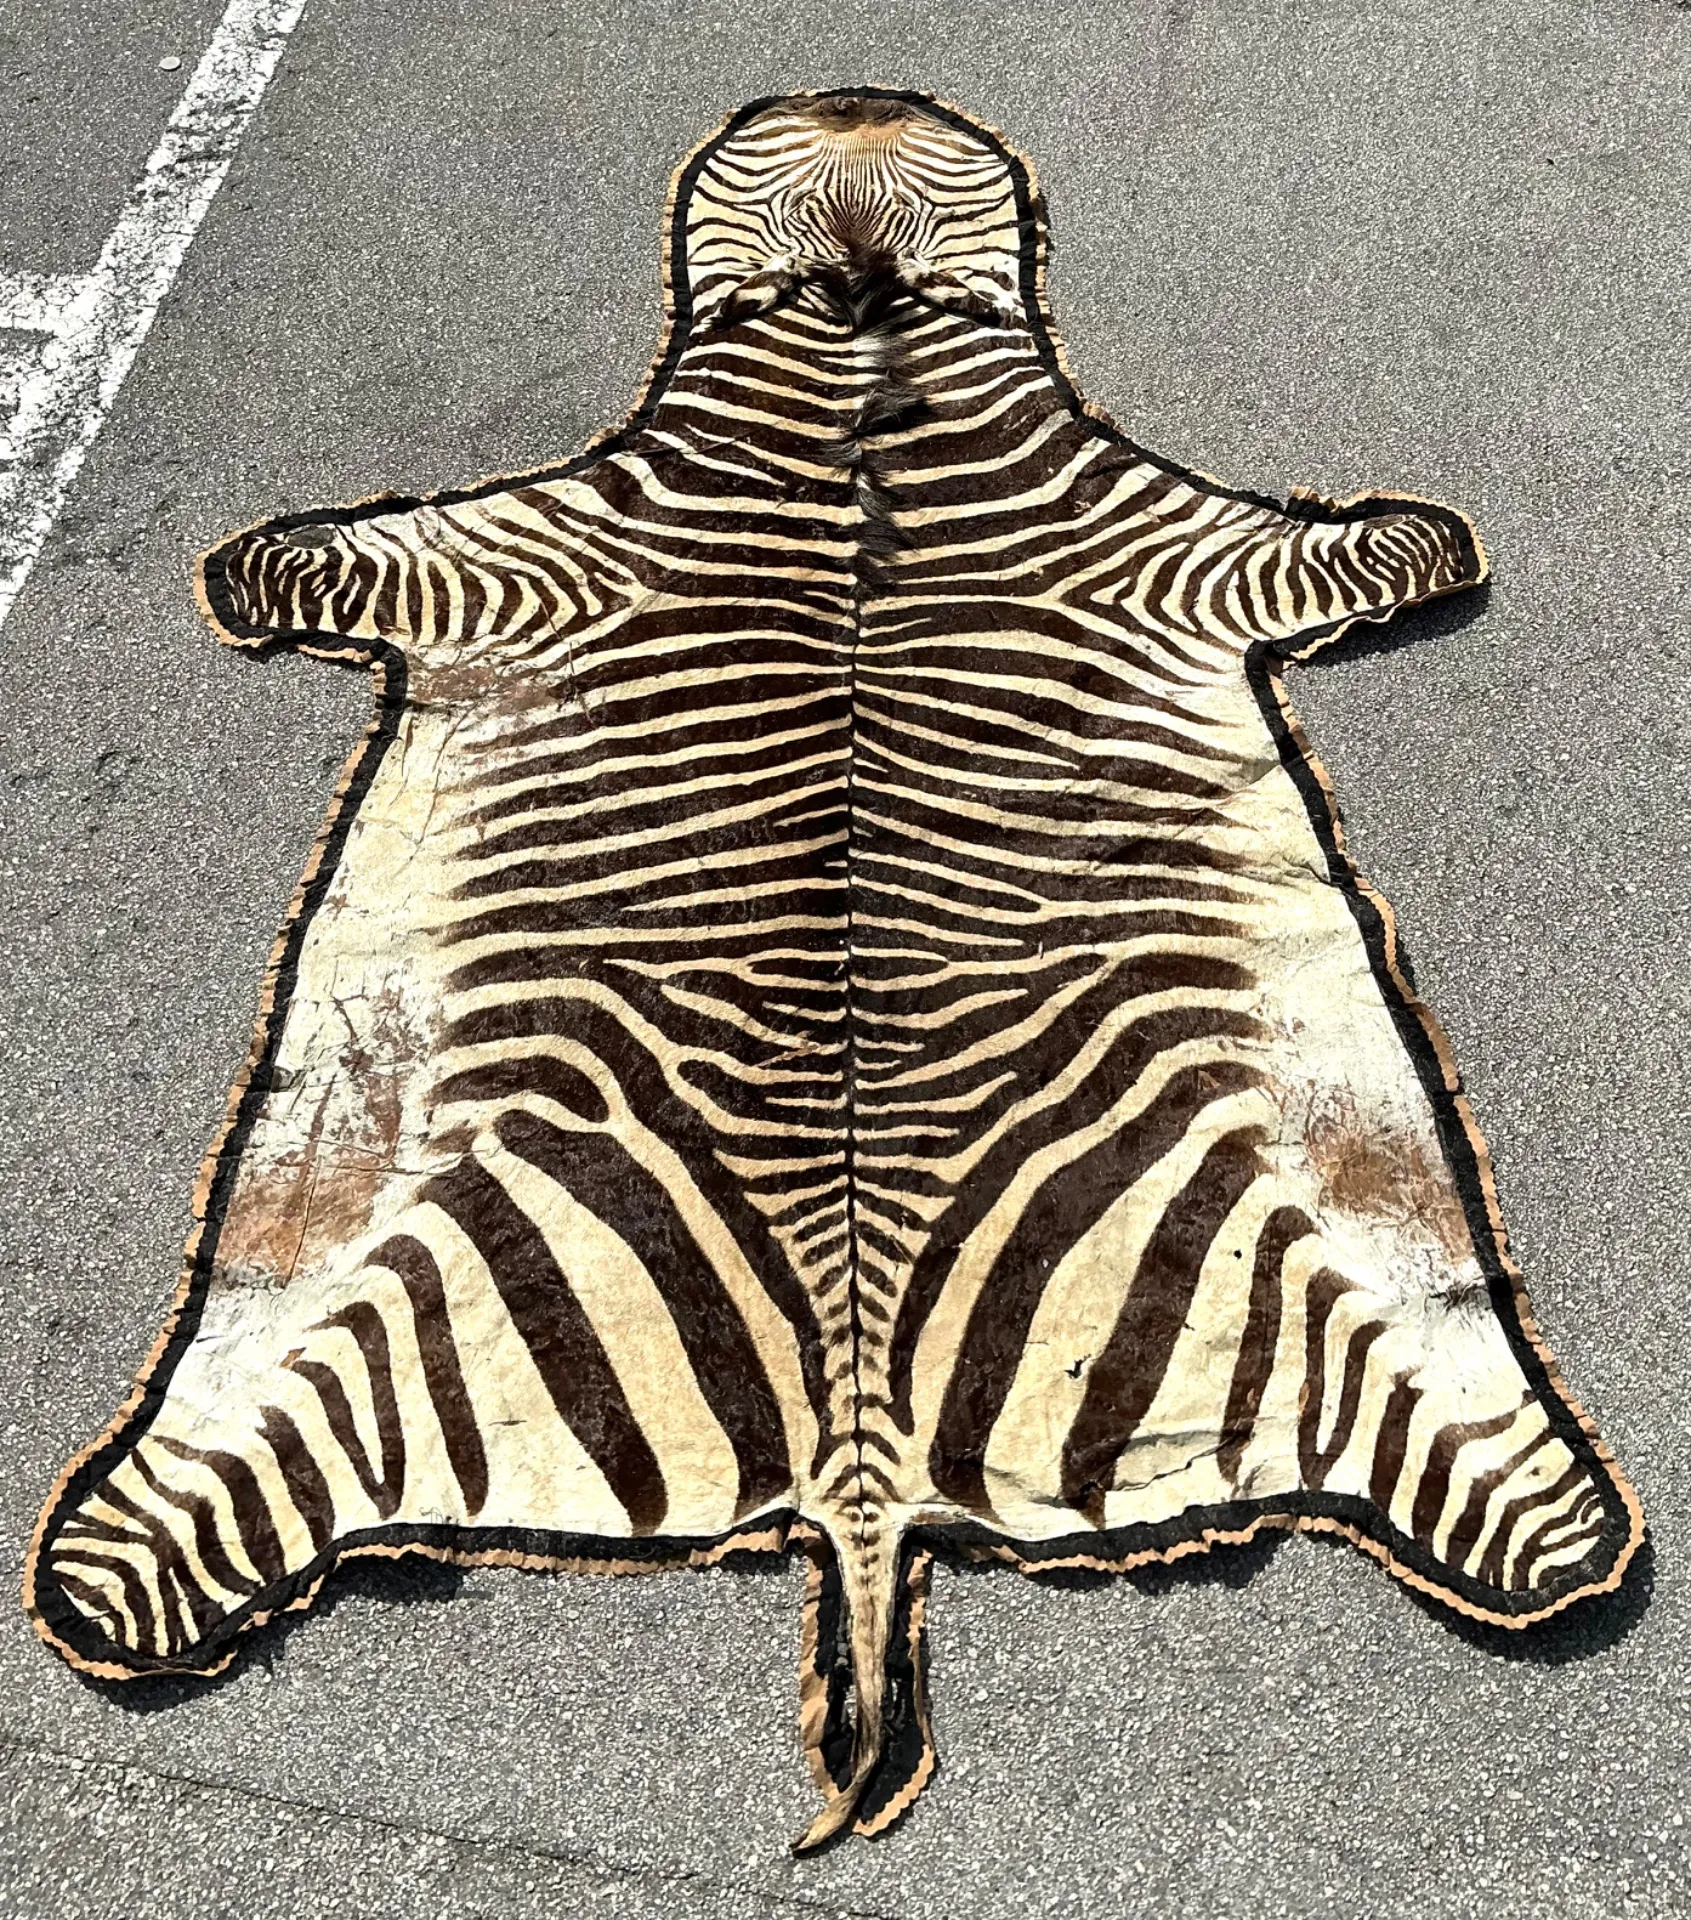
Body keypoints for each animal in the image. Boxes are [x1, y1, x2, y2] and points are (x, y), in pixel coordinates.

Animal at [26, 89, 1642, 1848]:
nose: (853, 100)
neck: (854, 337)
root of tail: (862, 1484)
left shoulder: (1170, 541)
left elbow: (1364, 547)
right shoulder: (521, 545)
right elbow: (322, 555)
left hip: (1305, 1251)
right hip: (384, 1271)